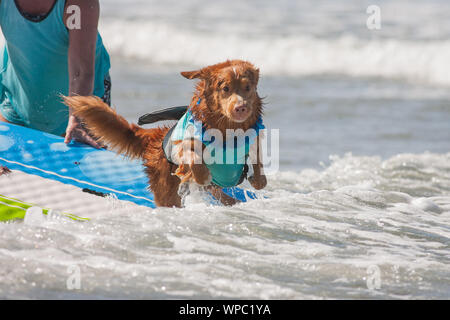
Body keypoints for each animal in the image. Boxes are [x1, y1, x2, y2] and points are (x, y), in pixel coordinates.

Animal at [63, 59, 268, 208]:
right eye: (225, 88)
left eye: (247, 88)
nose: (241, 107)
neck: (227, 131)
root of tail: (155, 137)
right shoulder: (186, 145)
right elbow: (195, 161)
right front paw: (201, 174)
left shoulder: (254, 144)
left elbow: (259, 174)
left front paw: (257, 179)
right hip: (166, 189)